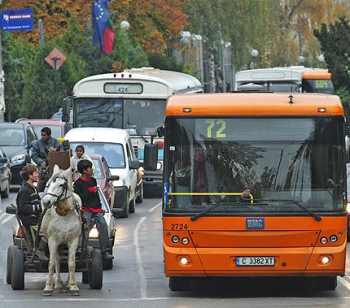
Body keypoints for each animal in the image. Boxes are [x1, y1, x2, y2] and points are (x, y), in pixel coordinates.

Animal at [41, 166, 82, 296]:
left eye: (61, 185)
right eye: (48, 184)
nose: (46, 202)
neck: (64, 214)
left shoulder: (74, 240)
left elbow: (72, 263)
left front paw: (73, 286)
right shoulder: (52, 240)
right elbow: (51, 263)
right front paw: (48, 287)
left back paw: (68, 283)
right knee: (57, 260)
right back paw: (58, 284)